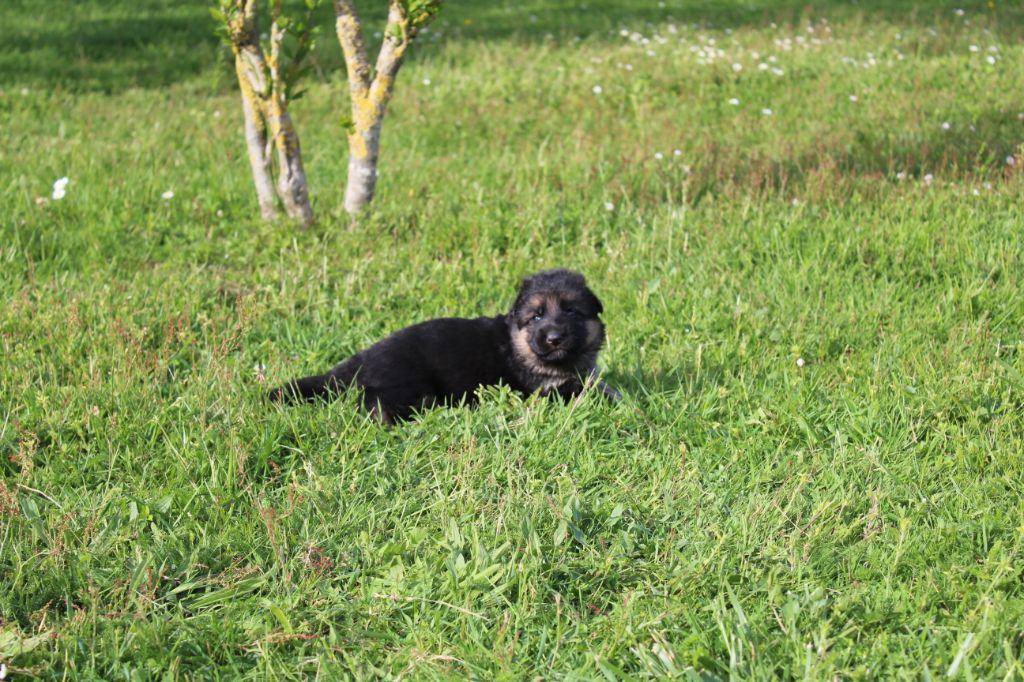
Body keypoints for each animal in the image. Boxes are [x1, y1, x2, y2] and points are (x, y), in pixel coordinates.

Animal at [268, 269, 619, 424]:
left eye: (571, 312)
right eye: (536, 316)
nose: (554, 338)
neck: (518, 346)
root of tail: (364, 357)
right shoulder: (544, 389)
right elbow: (580, 388)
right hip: (409, 385)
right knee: (372, 404)